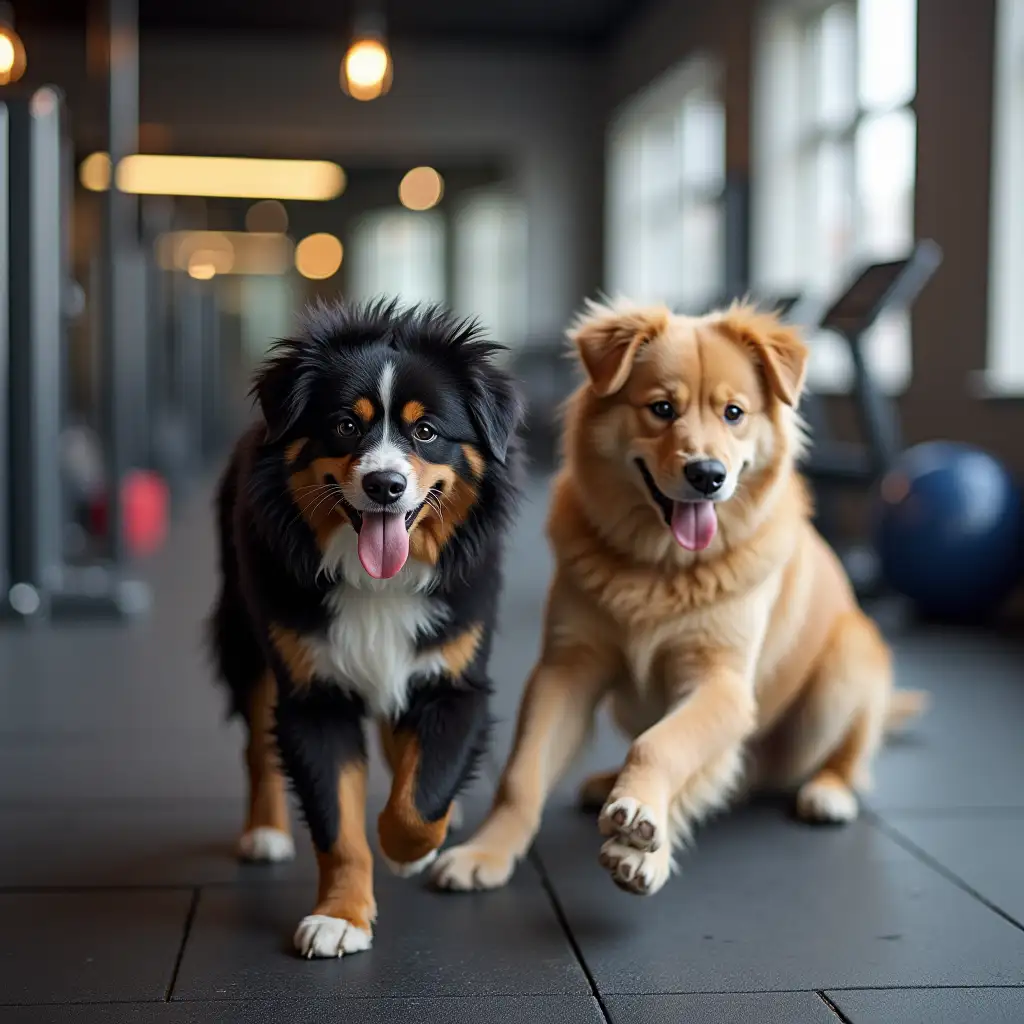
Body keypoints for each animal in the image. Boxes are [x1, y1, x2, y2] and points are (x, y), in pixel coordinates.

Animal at [210, 299, 524, 954]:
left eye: (426, 431)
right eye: (345, 427)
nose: (385, 485)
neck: (378, 584)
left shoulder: (453, 679)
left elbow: (417, 799)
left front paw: (412, 849)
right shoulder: (313, 693)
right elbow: (339, 826)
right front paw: (341, 917)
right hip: (242, 631)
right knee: (256, 741)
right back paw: (264, 832)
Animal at [432, 299, 929, 897]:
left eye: (734, 412)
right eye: (662, 408)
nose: (708, 475)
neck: (661, 568)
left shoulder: (721, 686)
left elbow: (663, 746)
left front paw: (645, 832)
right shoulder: (565, 669)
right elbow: (522, 774)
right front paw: (489, 849)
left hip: (848, 662)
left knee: (842, 756)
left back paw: (828, 791)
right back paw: (607, 785)